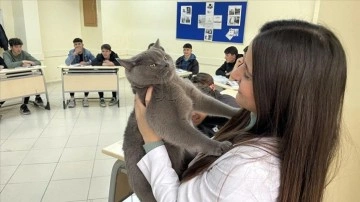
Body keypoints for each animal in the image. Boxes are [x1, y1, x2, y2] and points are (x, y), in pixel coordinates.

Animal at [117, 39, 239, 202]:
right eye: (153, 65)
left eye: (164, 56)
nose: (166, 64)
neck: (173, 84)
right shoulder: (167, 119)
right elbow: (195, 136)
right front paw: (219, 146)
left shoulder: (194, 95)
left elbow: (216, 105)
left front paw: (238, 111)